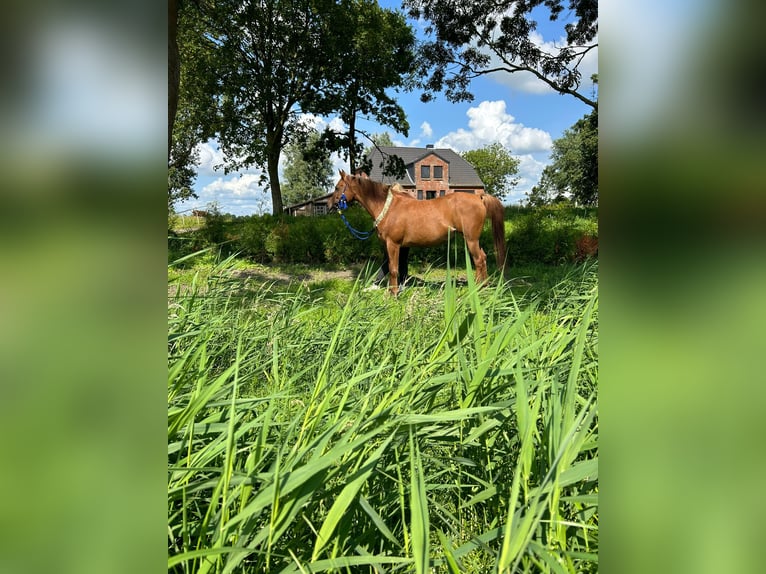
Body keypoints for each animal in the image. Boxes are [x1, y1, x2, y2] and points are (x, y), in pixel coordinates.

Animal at [328, 170, 504, 296]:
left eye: (337, 187)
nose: (329, 204)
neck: (388, 207)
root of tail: (479, 198)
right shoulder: (398, 246)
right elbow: (393, 268)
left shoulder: (393, 244)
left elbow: (393, 268)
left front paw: (393, 294)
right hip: (471, 240)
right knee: (482, 258)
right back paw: (482, 286)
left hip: (471, 239)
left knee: (479, 260)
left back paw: (478, 289)